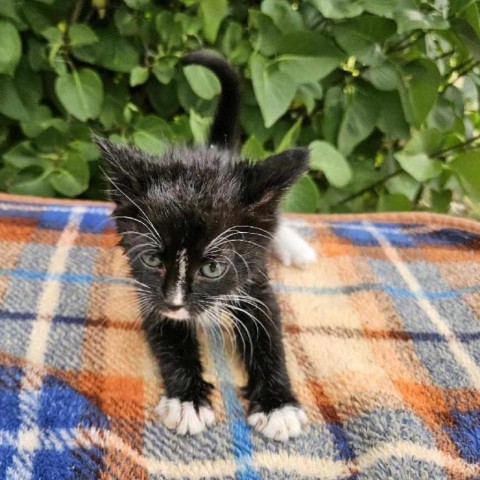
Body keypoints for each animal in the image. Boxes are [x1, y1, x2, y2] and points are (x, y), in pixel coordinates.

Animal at [95, 50, 316, 440]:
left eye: (212, 267)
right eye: (153, 259)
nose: (176, 302)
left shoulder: (255, 279)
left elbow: (269, 337)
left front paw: (278, 406)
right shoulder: (149, 293)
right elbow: (169, 340)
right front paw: (188, 402)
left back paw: (295, 247)